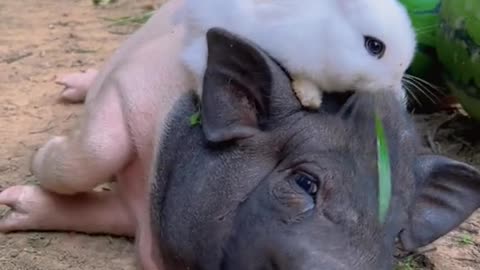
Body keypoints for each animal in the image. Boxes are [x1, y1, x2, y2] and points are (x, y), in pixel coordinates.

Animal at [180, 0, 416, 109]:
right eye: (374, 46)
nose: (394, 82)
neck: (327, 32)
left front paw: (401, 97)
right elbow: (301, 75)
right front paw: (310, 99)